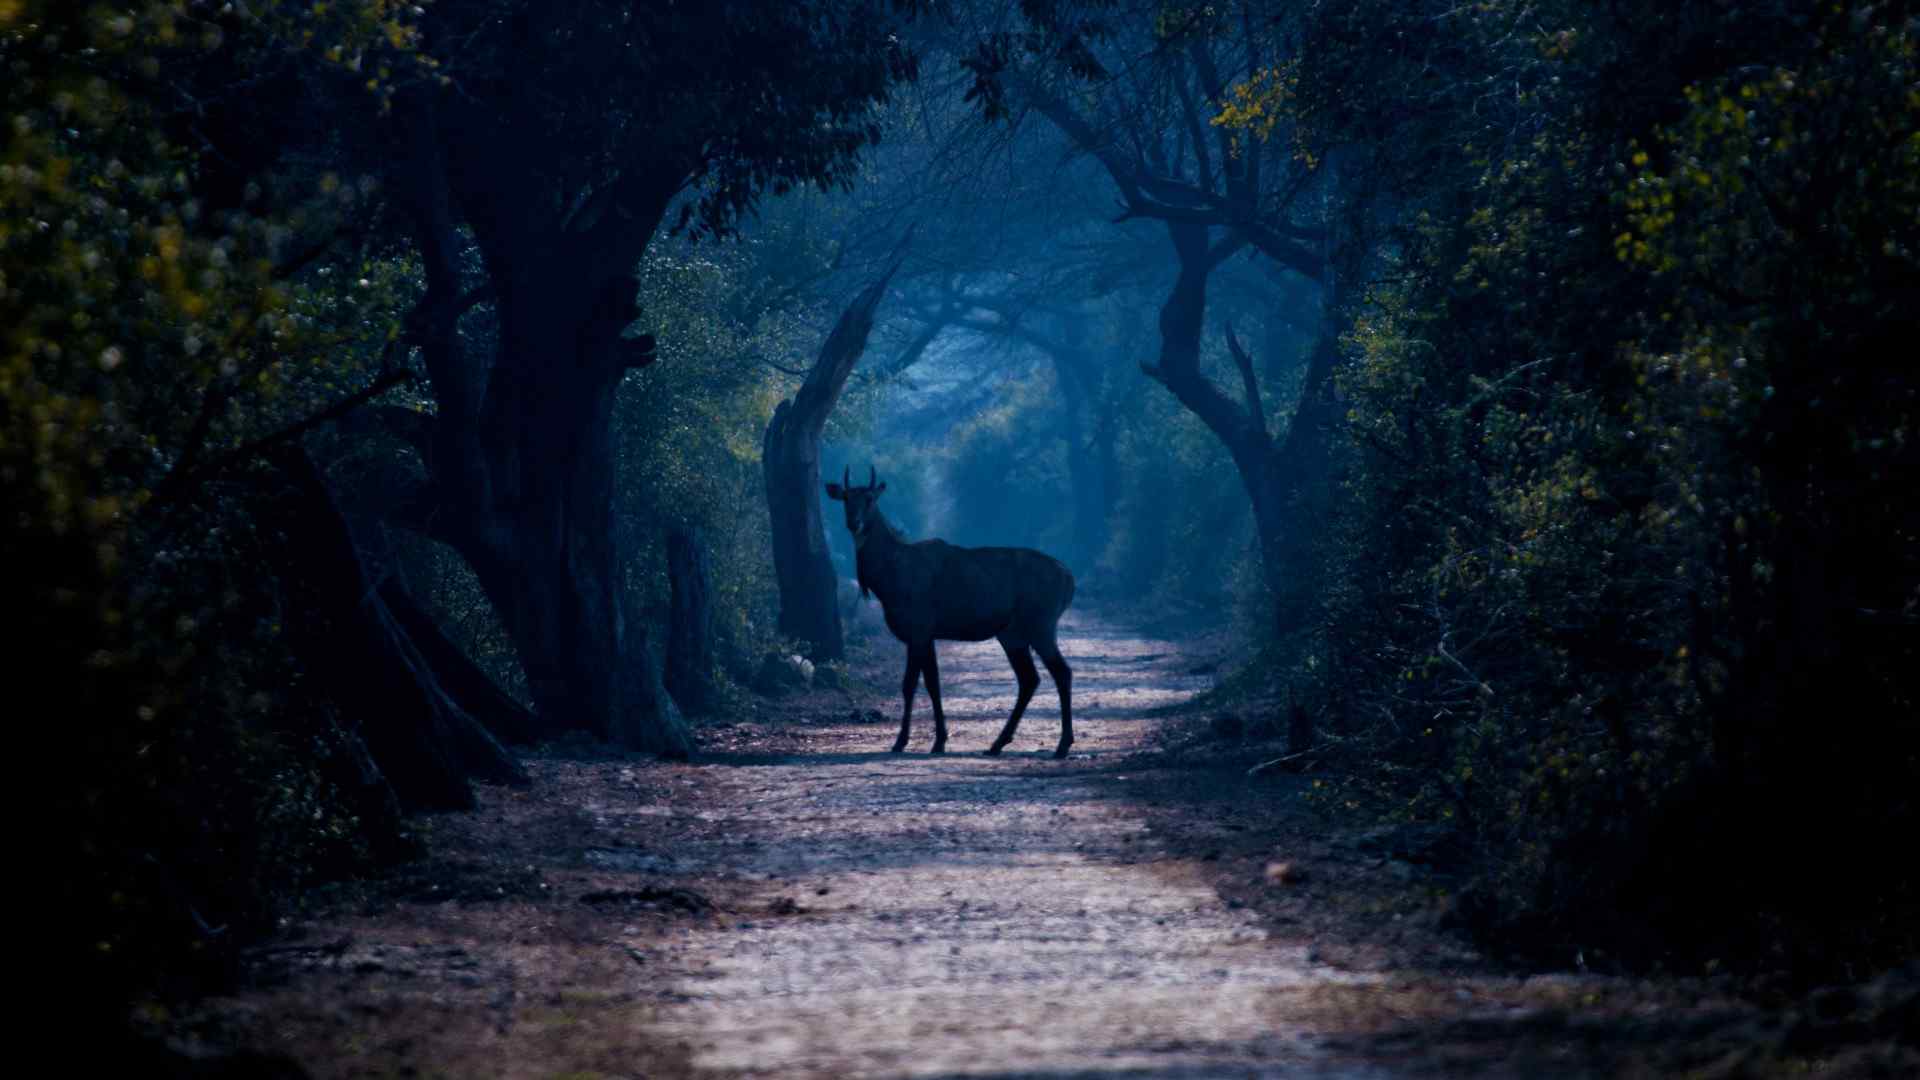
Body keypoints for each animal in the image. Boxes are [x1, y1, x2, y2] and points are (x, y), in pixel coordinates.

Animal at [817, 466, 1075, 753]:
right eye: (846, 498)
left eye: (870, 498)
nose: (854, 523)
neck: (889, 578)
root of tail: (1068, 578)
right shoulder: (927, 635)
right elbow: (933, 684)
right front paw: (939, 740)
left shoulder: (918, 630)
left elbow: (909, 684)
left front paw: (901, 741)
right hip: (1012, 633)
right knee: (1029, 678)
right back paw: (998, 743)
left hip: (1041, 624)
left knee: (1061, 672)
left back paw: (1062, 745)